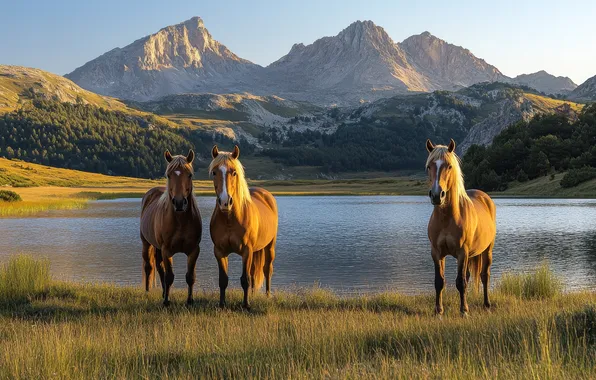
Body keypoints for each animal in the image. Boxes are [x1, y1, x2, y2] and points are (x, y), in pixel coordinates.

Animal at [140, 150, 203, 308]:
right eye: (169, 175)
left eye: (190, 174)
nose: (179, 203)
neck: (180, 221)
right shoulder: (166, 250)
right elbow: (169, 276)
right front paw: (166, 302)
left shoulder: (194, 250)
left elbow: (190, 276)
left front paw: (190, 301)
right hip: (146, 243)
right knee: (149, 267)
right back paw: (148, 292)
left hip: (157, 248)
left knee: (159, 268)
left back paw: (163, 293)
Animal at [208, 145, 278, 308]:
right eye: (214, 172)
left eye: (234, 172)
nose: (225, 202)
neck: (230, 220)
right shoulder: (219, 252)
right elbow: (223, 280)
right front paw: (222, 304)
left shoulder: (246, 251)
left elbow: (244, 280)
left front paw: (246, 305)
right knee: (253, 272)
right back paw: (252, 294)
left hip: (269, 247)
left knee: (267, 269)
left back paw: (267, 295)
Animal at [426, 138, 496, 316]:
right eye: (429, 166)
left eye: (449, 166)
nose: (437, 195)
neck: (447, 218)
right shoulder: (436, 253)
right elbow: (439, 281)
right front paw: (438, 311)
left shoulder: (462, 252)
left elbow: (461, 282)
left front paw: (464, 311)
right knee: (469, 275)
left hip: (487, 250)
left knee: (484, 275)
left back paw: (486, 304)